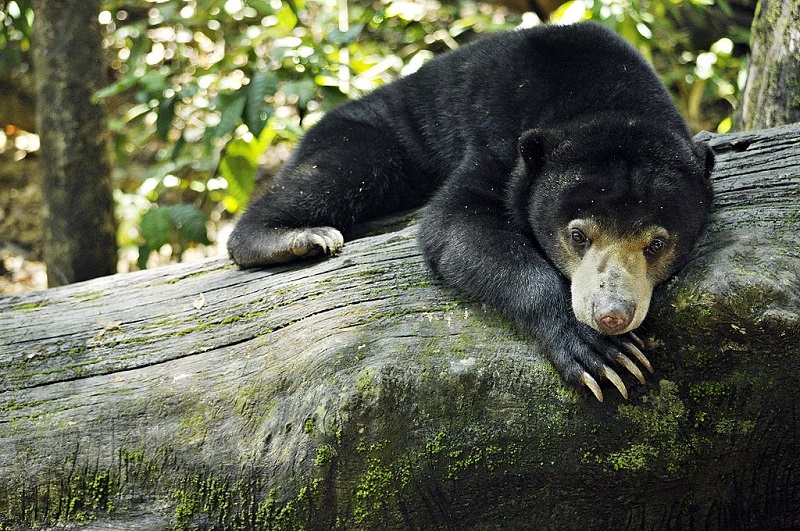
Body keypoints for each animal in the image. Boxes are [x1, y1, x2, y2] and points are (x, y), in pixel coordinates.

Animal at [228, 21, 716, 404]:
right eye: (578, 235)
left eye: (657, 243)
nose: (611, 315)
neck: (604, 98)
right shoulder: (499, 140)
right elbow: (455, 223)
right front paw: (600, 352)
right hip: (368, 136)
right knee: (338, 172)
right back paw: (296, 239)